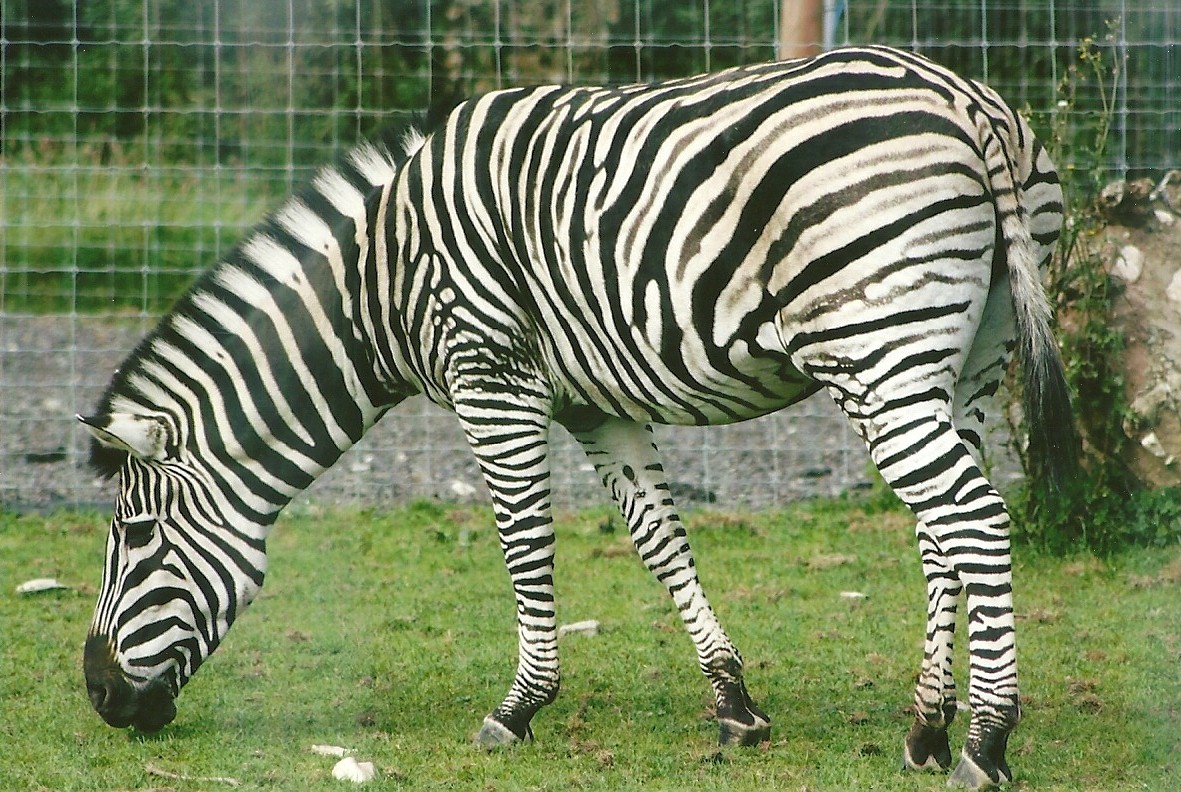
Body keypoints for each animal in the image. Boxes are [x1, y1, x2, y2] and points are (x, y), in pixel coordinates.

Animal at [80, 45, 1072, 789]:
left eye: (135, 536)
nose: (96, 695)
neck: (378, 288)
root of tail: (963, 96)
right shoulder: (594, 404)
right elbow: (659, 540)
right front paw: (733, 705)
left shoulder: (490, 378)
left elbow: (524, 541)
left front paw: (517, 708)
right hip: (966, 362)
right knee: (940, 532)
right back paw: (925, 728)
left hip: (875, 350)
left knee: (972, 519)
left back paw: (984, 743)